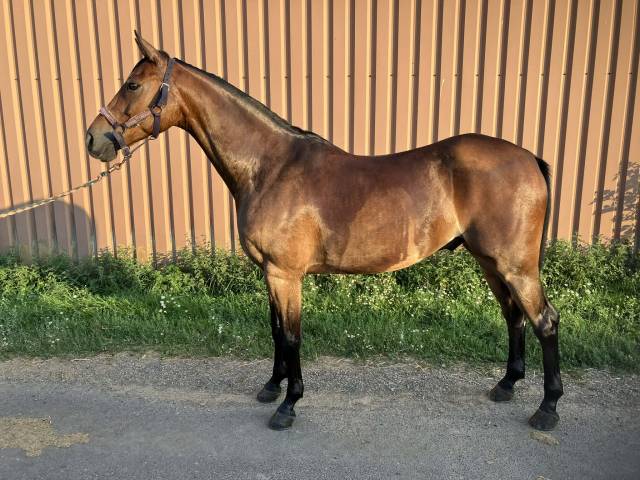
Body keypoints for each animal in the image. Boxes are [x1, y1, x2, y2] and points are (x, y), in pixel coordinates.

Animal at [86, 32, 563, 432]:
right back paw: (506, 386)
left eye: (132, 85)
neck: (270, 167)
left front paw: (288, 405)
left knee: (544, 320)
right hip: (489, 261)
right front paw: (271, 387)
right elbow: (276, 330)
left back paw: (547, 408)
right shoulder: (270, 273)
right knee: (513, 316)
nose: (94, 139)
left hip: (515, 266)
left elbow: (292, 335)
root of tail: (530, 158)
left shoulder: (286, 274)